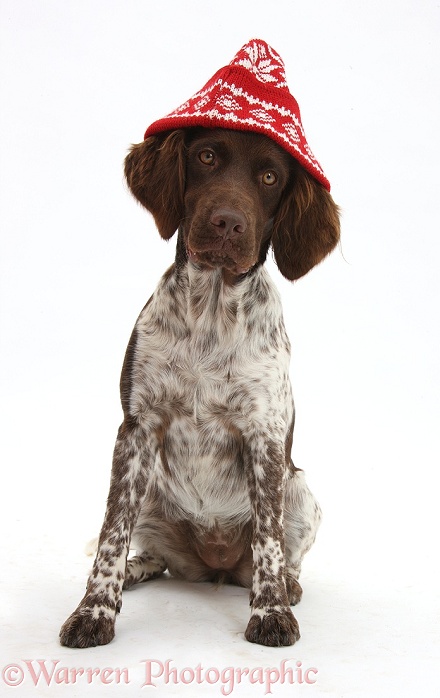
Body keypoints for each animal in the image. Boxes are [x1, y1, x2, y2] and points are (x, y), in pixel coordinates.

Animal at [58, 40, 340, 648]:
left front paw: (270, 612)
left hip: (300, 487)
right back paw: (138, 570)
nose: (228, 223)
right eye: (207, 157)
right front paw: (95, 610)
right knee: (157, 557)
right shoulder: (136, 429)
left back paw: (286, 587)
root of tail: (213, 565)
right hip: (146, 488)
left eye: (269, 177)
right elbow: (111, 534)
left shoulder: (265, 438)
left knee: (279, 555)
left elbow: (268, 541)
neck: (210, 311)